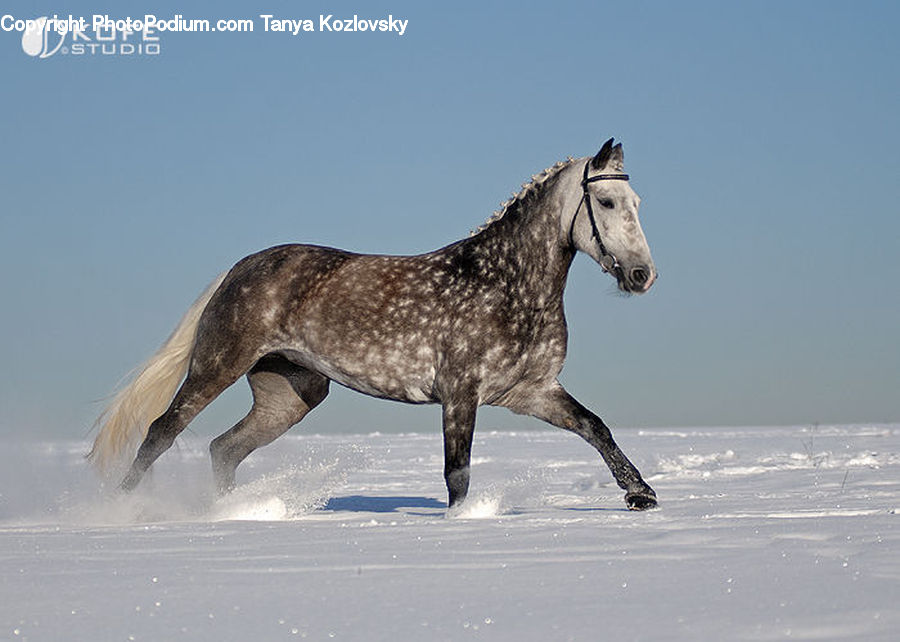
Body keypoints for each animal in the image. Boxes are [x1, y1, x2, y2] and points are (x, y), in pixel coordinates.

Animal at [90, 138, 659, 511]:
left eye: (637, 203)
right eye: (606, 201)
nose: (642, 275)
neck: (508, 284)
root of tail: (240, 268)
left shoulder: (532, 390)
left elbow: (595, 426)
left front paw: (641, 495)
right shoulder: (461, 393)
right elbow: (458, 474)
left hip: (291, 393)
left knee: (224, 449)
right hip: (217, 365)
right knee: (162, 431)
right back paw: (117, 511)